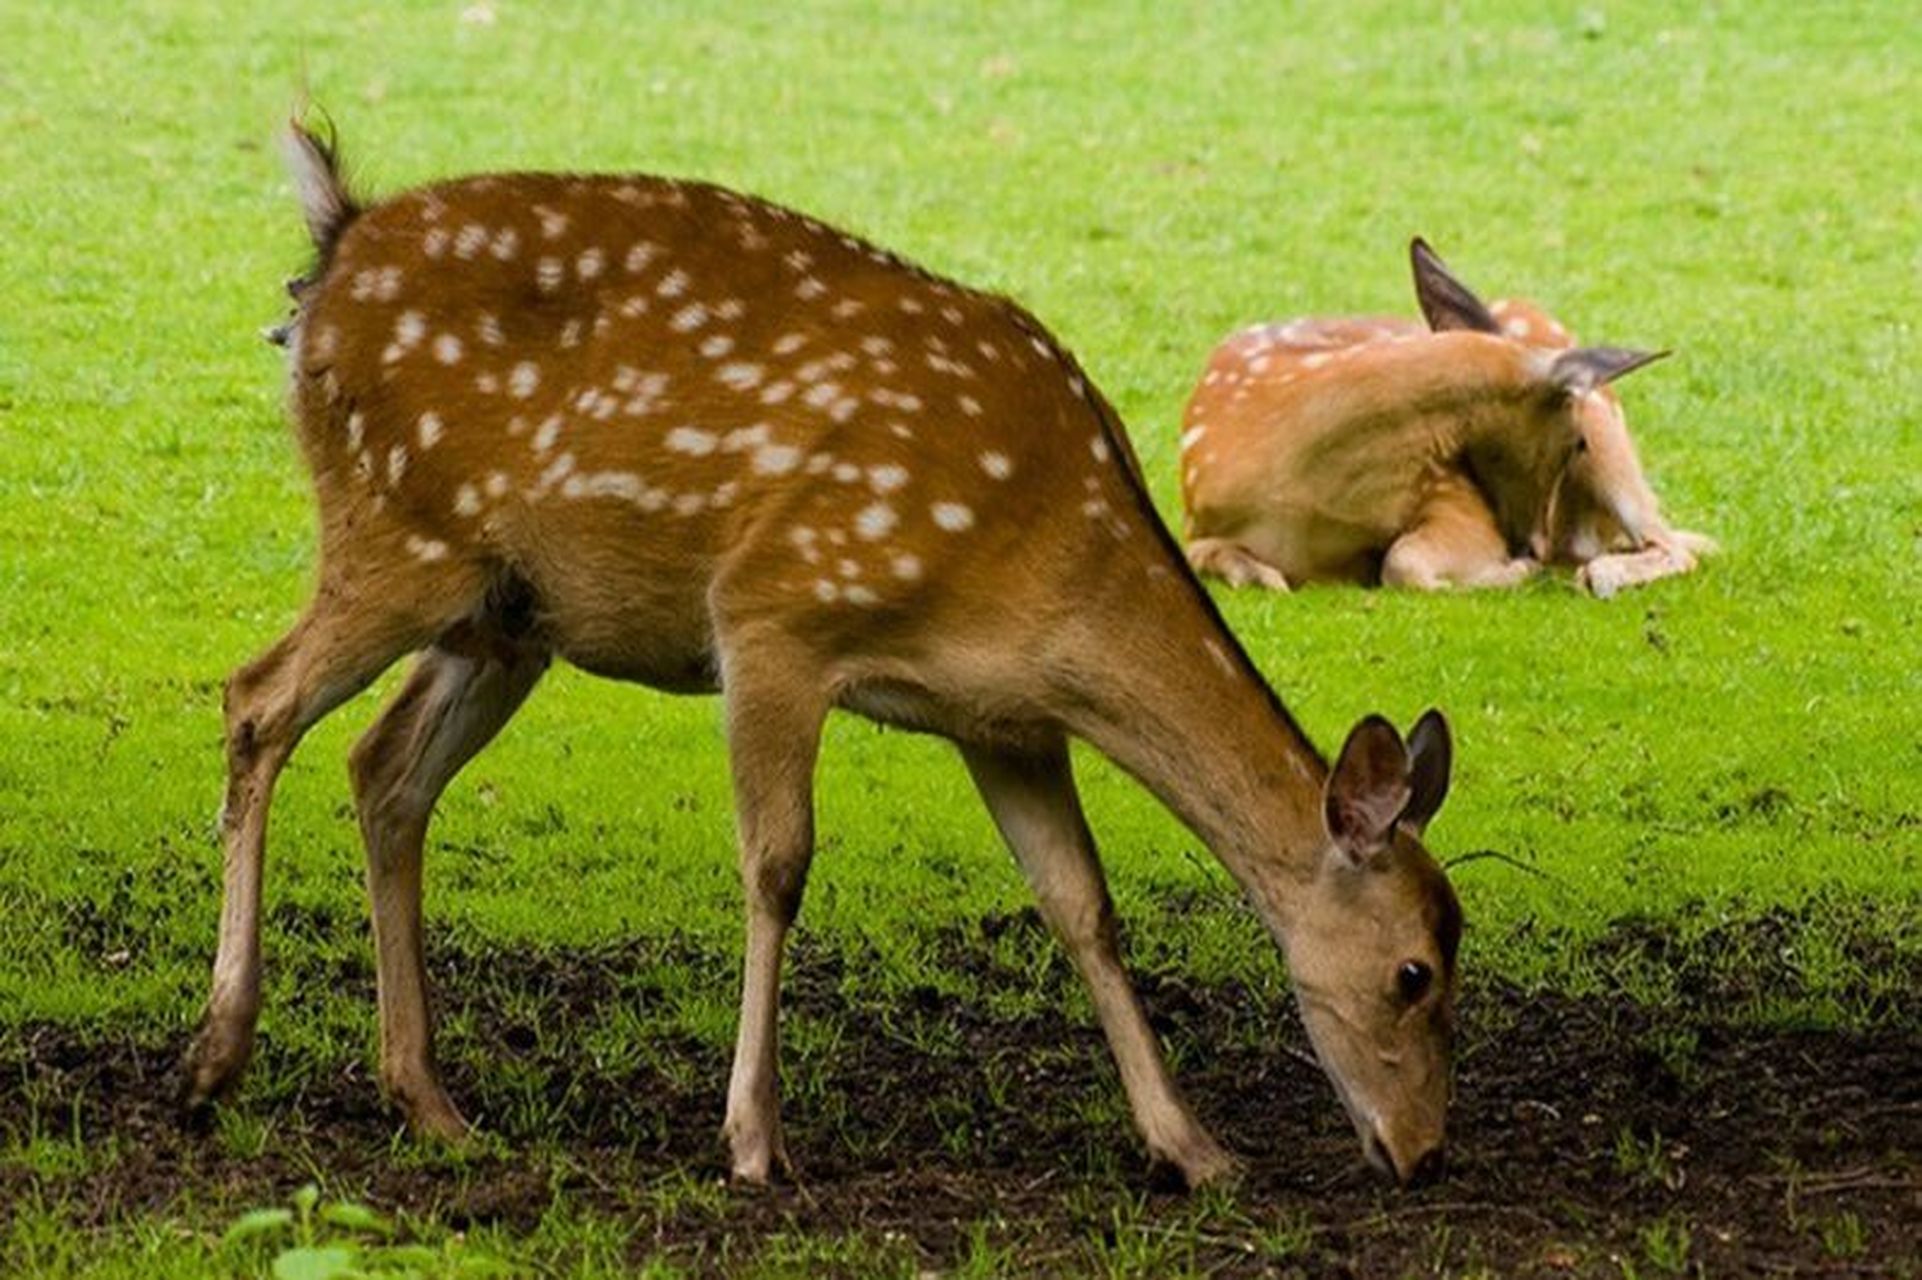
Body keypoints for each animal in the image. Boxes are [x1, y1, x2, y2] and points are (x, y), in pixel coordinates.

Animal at [187, 122, 1460, 1183]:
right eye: (1413, 971)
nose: (1421, 1152)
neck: (1053, 568)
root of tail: (332, 249)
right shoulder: (774, 614)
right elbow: (778, 864)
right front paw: (754, 1137)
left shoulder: (1006, 720)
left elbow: (1081, 905)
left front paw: (1192, 1148)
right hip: (400, 529)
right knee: (257, 696)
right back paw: (216, 1052)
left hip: (507, 611)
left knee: (383, 766)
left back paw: (429, 1098)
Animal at [1183, 238, 1714, 591]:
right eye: (1573, 442)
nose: (1531, 546)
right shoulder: (1195, 523)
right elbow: (1208, 555)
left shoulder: (1450, 496)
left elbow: (1403, 561)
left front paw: (1511, 572)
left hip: (1612, 443)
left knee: (1672, 542)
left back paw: (1599, 573)